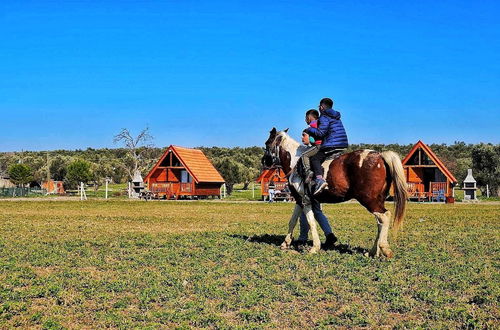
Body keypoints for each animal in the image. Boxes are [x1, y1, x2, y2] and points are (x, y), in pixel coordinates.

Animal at [264, 128, 408, 258]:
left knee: (385, 216)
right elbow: (293, 221)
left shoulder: (305, 200)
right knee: (380, 222)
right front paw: (285, 243)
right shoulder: (300, 200)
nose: (264, 161)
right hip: (377, 200)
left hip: (369, 200)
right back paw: (373, 252)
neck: (295, 162)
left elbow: (311, 222)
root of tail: (380, 156)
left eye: (267, 143)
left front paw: (315, 247)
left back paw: (384, 248)